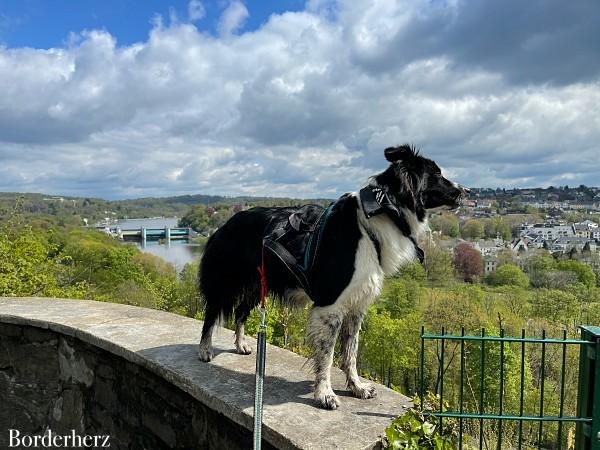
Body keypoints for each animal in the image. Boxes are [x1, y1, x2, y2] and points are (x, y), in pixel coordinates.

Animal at [198, 146, 468, 410]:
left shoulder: (357, 305)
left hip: (257, 286)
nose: (466, 191)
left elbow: (351, 353)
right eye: (437, 174)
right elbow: (327, 356)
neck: (379, 216)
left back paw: (240, 344)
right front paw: (324, 394)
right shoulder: (331, 306)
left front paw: (357, 387)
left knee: (241, 312)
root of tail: (226, 223)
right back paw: (205, 349)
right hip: (225, 283)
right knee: (211, 314)